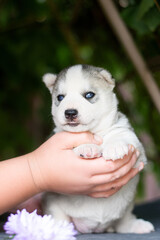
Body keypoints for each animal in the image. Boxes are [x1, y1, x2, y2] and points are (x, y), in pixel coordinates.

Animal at [42, 64, 154, 233]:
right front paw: (86, 146)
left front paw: (115, 146)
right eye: (60, 97)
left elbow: (124, 136)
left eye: (89, 95)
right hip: (54, 205)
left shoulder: (138, 151)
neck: (96, 132)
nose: (70, 112)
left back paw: (137, 225)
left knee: (124, 222)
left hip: (126, 209)